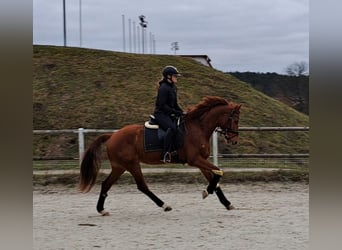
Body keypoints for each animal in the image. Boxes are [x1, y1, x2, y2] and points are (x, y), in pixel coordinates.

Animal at [80, 95, 240, 215]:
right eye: (234, 120)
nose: (234, 140)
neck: (198, 128)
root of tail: (112, 135)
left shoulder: (201, 161)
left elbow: (215, 178)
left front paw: (226, 203)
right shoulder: (195, 160)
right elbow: (219, 172)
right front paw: (206, 192)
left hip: (120, 166)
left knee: (106, 184)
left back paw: (101, 210)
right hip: (131, 164)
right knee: (141, 186)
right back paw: (164, 205)